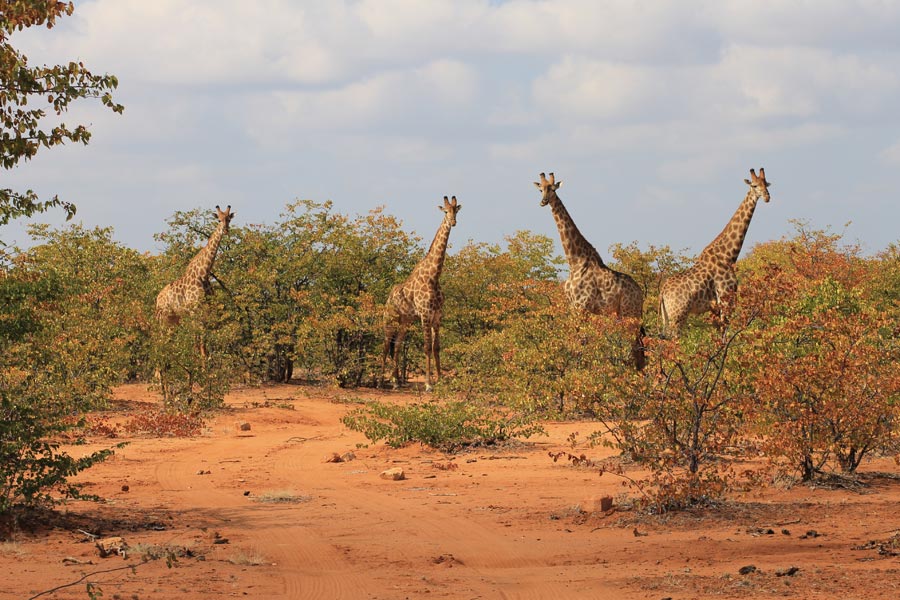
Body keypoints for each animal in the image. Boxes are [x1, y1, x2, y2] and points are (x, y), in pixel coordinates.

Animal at [382, 195, 460, 392]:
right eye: (445, 211)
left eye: (456, 211)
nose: (453, 222)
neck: (433, 277)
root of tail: (388, 300)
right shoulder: (425, 314)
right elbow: (426, 347)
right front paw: (428, 384)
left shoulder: (437, 315)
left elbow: (436, 347)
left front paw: (440, 380)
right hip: (390, 321)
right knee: (386, 346)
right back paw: (381, 381)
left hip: (405, 322)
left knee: (397, 345)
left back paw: (396, 381)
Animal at [536, 171, 648, 370]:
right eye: (540, 189)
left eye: (553, 189)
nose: (543, 201)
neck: (574, 261)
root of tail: (641, 293)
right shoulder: (573, 306)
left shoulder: (582, 307)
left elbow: (580, 344)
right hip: (623, 314)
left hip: (630, 314)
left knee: (636, 348)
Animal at [656, 168, 768, 338]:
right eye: (754, 185)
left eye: (767, 184)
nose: (767, 197)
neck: (728, 256)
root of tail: (662, 292)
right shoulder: (726, 299)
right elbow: (724, 336)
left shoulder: (715, 308)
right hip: (678, 316)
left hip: (667, 317)